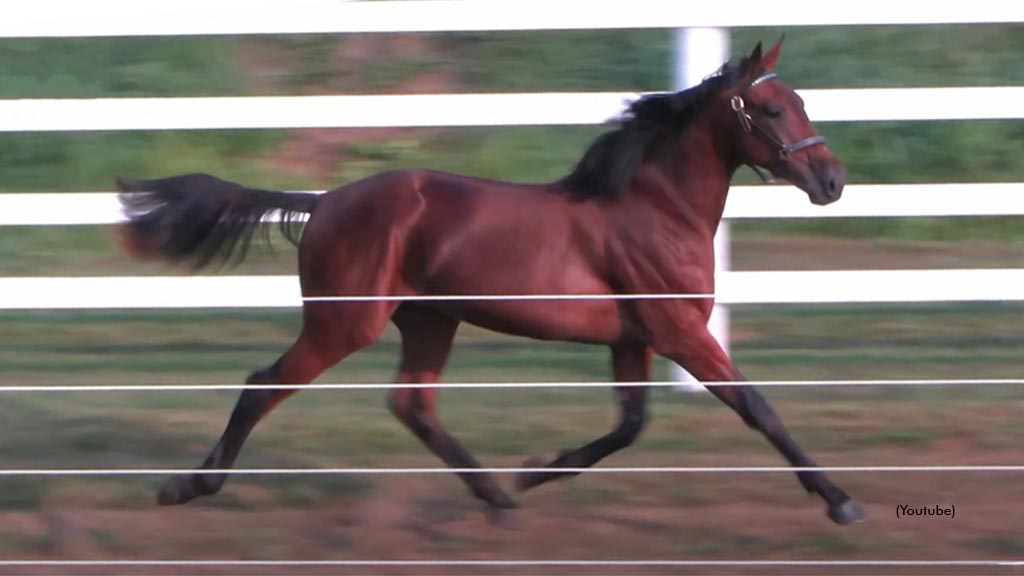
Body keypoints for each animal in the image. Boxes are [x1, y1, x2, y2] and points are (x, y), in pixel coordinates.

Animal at [116, 39, 868, 524]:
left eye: (800, 100)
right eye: (771, 110)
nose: (832, 180)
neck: (655, 208)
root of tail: (324, 200)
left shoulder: (635, 338)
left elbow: (629, 425)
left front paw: (532, 471)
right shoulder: (679, 331)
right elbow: (756, 407)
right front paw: (841, 501)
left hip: (429, 318)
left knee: (412, 405)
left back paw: (497, 497)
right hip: (344, 321)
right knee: (263, 385)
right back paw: (189, 486)